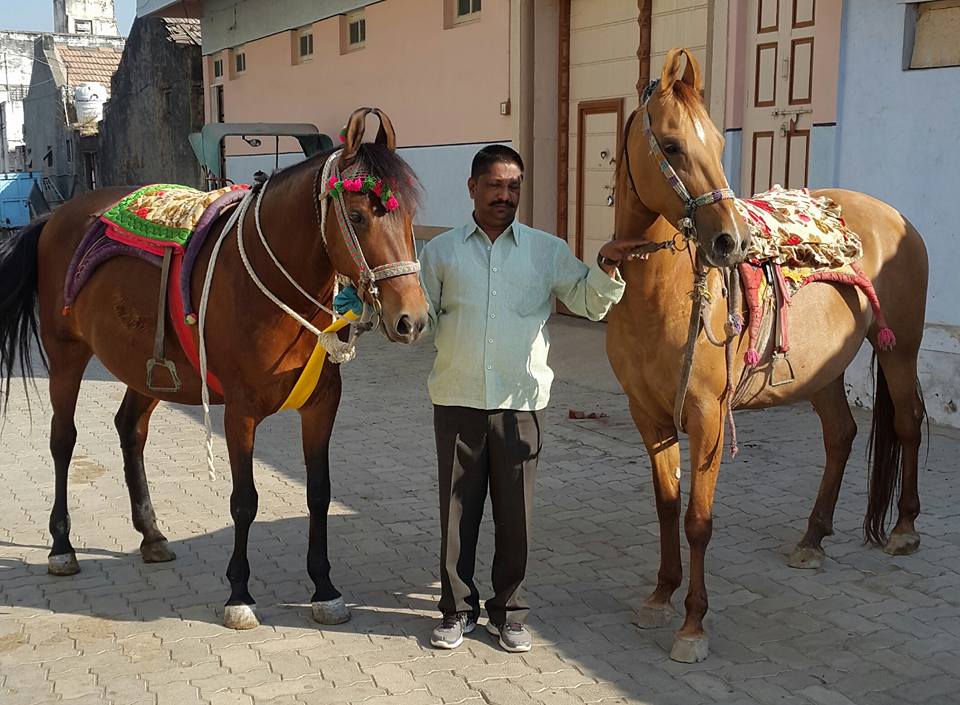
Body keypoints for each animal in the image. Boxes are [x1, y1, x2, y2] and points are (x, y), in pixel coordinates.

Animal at [0, 108, 429, 630]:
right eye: (356, 215)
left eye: (408, 216)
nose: (411, 318)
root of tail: (53, 218)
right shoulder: (239, 413)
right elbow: (244, 501)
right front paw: (239, 593)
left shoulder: (321, 407)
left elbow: (319, 494)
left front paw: (324, 588)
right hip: (66, 356)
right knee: (62, 440)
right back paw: (61, 546)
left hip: (149, 371)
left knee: (130, 430)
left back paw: (151, 534)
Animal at [607, 49, 928, 662]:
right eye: (673, 145)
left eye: (718, 143)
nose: (729, 242)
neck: (662, 291)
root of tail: (898, 218)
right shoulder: (648, 415)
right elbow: (666, 505)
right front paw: (660, 596)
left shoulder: (707, 416)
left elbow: (698, 519)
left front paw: (693, 625)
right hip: (823, 373)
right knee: (841, 435)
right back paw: (813, 538)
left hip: (901, 351)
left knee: (908, 422)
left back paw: (903, 529)